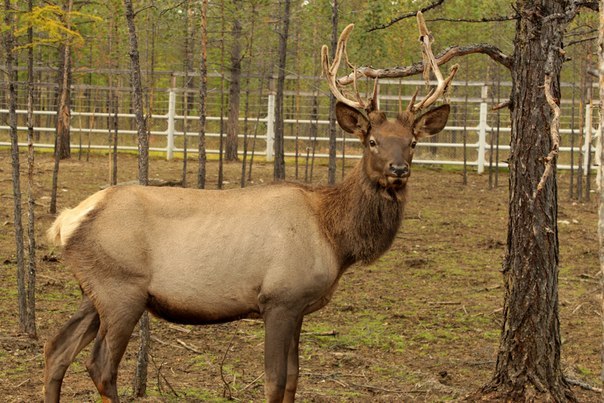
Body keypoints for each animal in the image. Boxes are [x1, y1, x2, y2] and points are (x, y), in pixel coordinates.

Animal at [42, 12, 458, 403]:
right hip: (121, 289)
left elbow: (294, 379)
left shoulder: (298, 307)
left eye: (413, 142)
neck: (335, 238)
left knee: (56, 348)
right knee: (99, 365)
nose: (398, 169)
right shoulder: (279, 298)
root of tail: (65, 221)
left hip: (94, 289)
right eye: (372, 141)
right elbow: (275, 382)